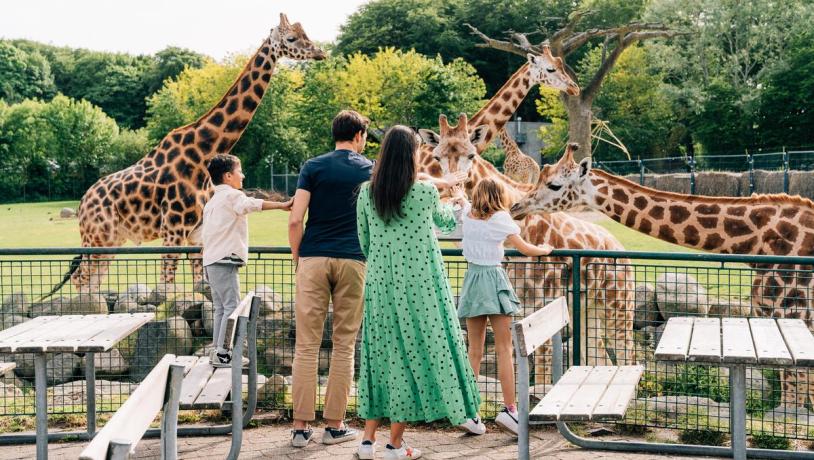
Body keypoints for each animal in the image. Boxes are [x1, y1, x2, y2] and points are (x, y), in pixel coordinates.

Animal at [59, 13, 326, 294]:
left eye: (305, 34)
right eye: (291, 38)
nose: (320, 52)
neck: (202, 154)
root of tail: (83, 203)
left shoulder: (196, 233)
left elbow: (200, 286)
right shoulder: (173, 230)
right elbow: (166, 289)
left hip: (111, 241)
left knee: (91, 281)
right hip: (97, 236)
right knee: (81, 279)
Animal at [420, 112, 636, 378]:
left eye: (471, 154)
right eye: (437, 156)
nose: (454, 190)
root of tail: (621, 250)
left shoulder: (541, 306)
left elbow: (542, 370)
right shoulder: (516, 307)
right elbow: (512, 362)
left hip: (619, 303)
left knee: (627, 353)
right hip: (588, 309)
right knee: (599, 356)